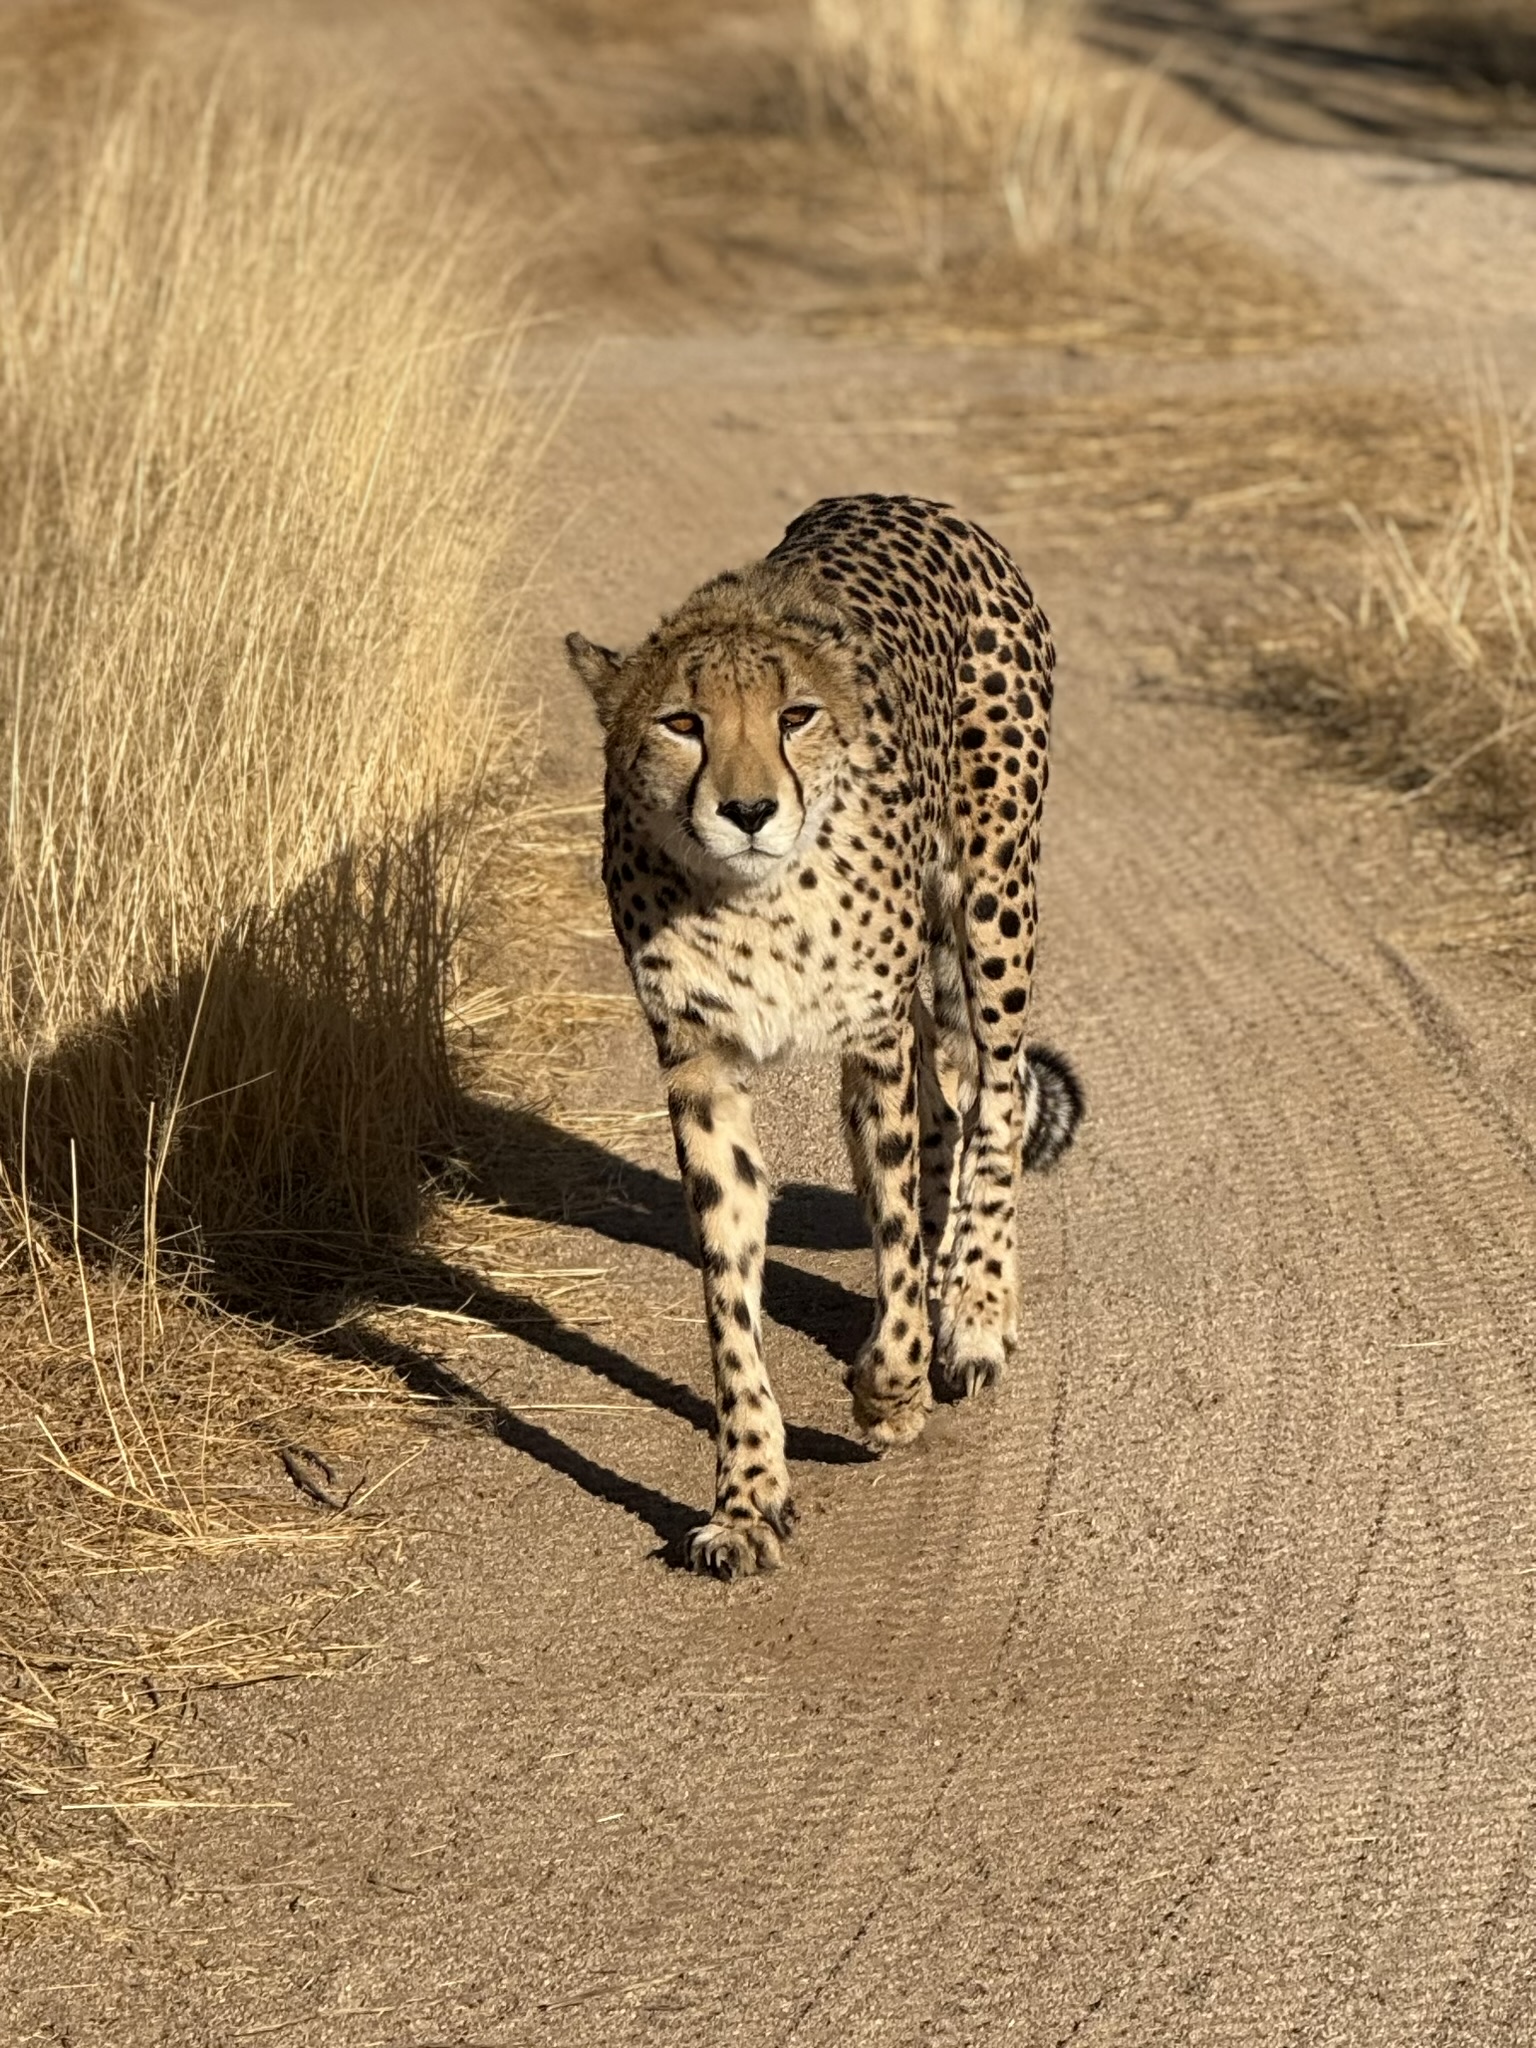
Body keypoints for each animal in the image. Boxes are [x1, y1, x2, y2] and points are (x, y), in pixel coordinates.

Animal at [566, 492, 1083, 1580]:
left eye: (794, 716)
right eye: (682, 723)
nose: (750, 809)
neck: (750, 897)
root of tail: (910, 502)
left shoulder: (870, 1035)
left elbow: (889, 1230)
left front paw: (892, 1391)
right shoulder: (698, 1064)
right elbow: (730, 1292)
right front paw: (748, 1498)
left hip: (992, 901)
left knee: (996, 1091)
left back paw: (974, 1310)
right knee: (948, 1107)